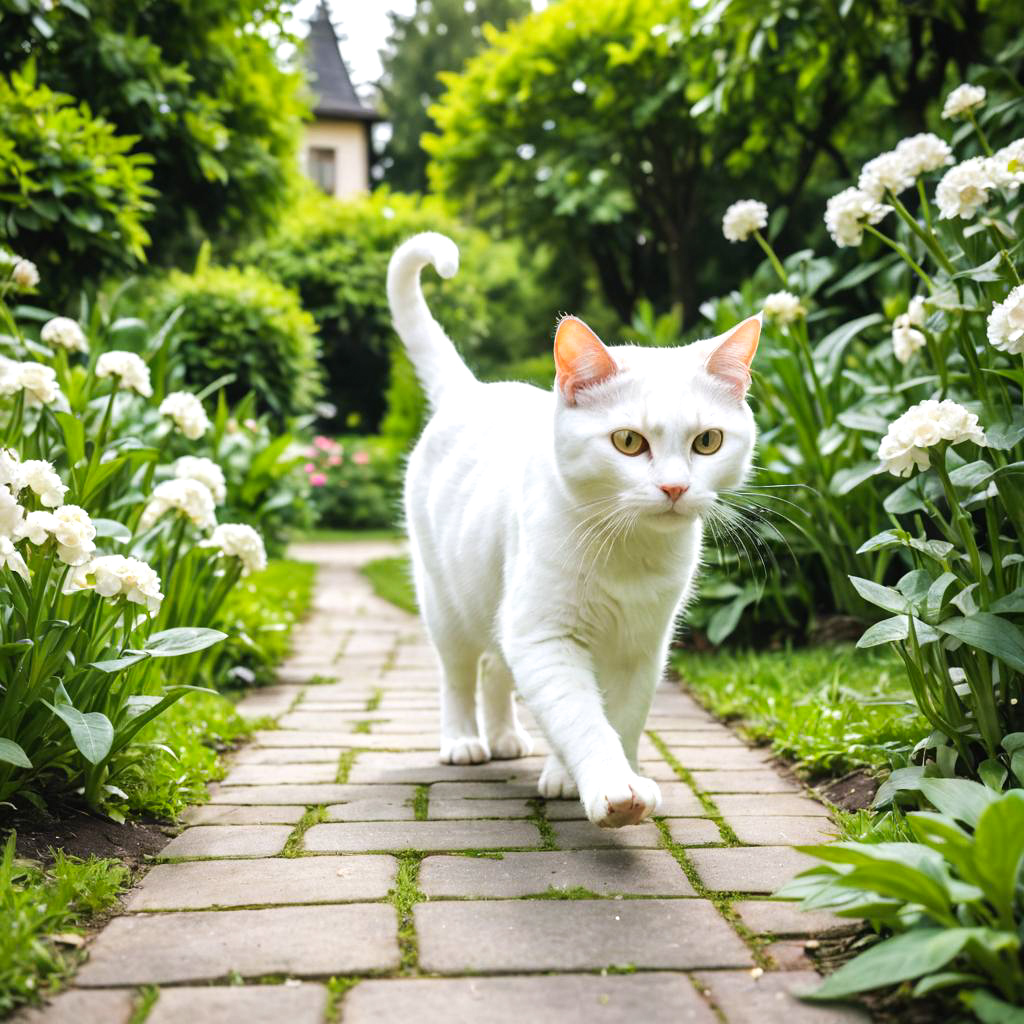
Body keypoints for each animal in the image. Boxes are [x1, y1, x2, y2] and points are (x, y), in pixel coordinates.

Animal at [387, 230, 757, 823]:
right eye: (628, 441)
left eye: (708, 442)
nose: (675, 487)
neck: (628, 553)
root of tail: (472, 390)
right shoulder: (545, 637)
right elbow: (582, 718)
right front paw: (610, 786)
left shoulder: (641, 649)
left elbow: (622, 718)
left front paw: (578, 775)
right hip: (446, 603)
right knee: (460, 672)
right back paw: (464, 740)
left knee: (495, 670)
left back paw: (505, 736)